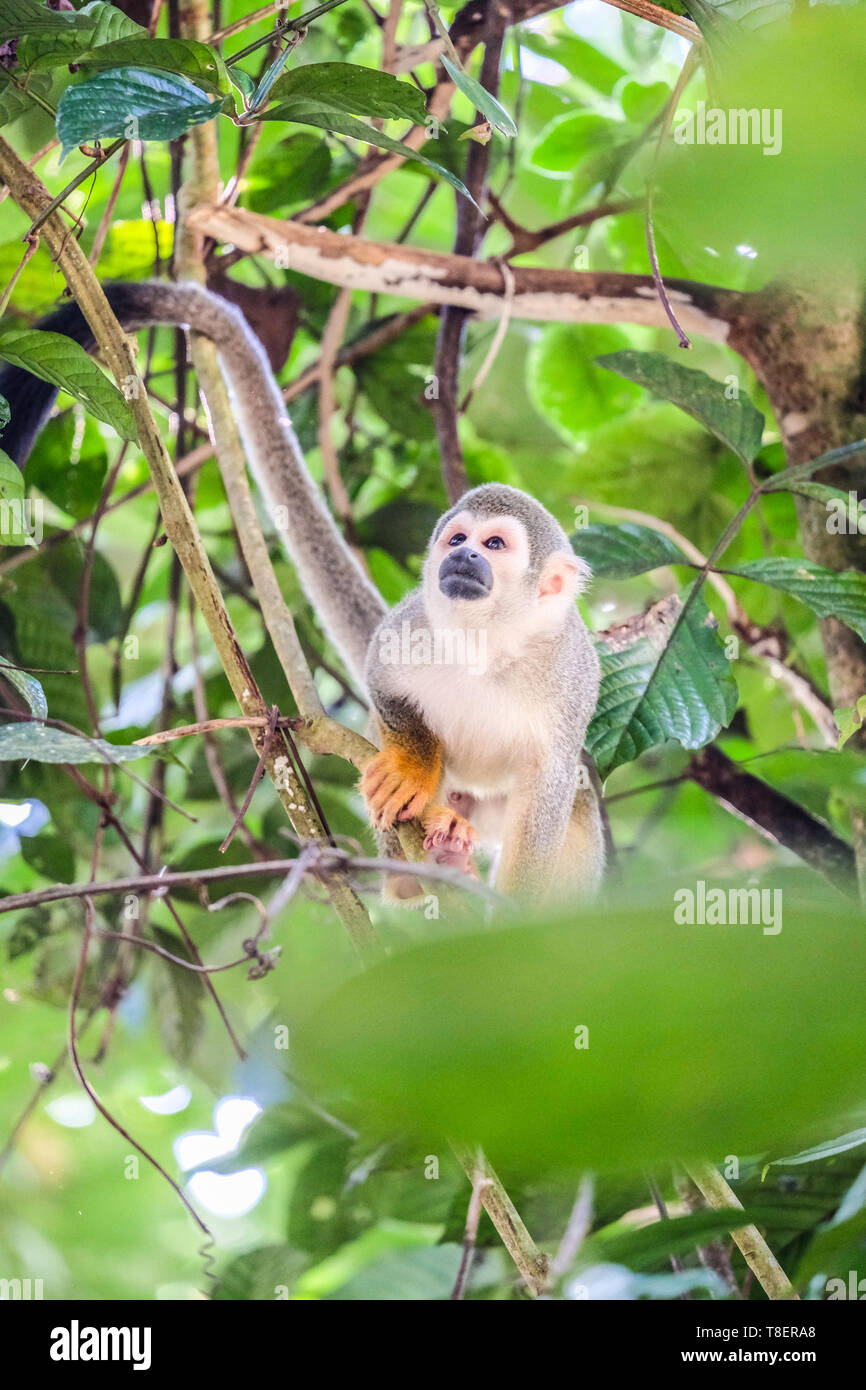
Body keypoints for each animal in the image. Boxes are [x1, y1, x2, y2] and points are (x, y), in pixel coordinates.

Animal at [0, 282, 606, 900]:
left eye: (495, 545)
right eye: (458, 538)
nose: (462, 557)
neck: (485, 641)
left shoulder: (568, 677)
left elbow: (553, 786)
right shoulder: (413, 626)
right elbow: (383, 680)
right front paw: (413, 766)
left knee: (578, 803)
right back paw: (422, 867)